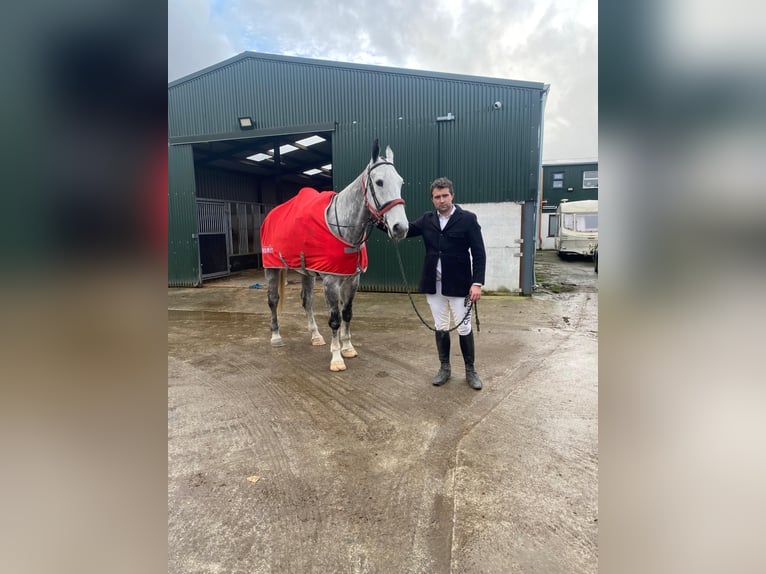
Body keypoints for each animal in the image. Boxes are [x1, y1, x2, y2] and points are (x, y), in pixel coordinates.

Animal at [262, 142, 408, 372]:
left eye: (400, 181)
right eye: (379, 182)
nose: (400, 228)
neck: (343, 227)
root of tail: (270, 216)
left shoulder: (352, 279)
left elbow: (346, 313)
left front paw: (347, 348)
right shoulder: (330, 281)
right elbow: (335, 319)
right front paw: (337, 358)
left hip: (307, 273)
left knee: (307, 301)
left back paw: (315, 336)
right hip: (272, 268)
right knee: (273, 300)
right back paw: (276, 337)